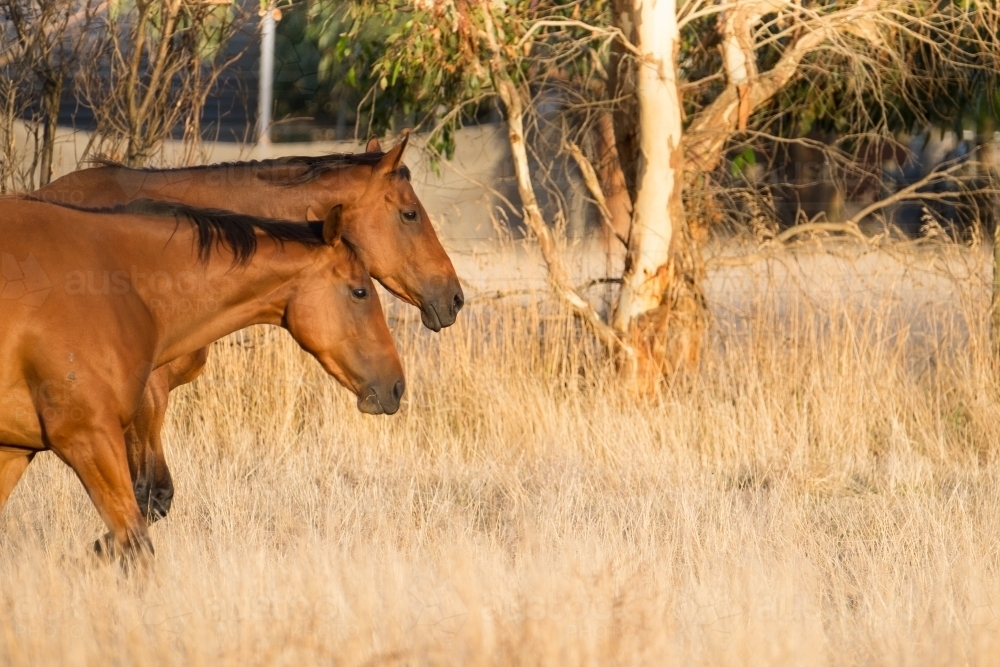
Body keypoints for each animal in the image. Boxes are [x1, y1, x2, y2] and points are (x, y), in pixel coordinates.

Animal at [1, 197, 406, 560]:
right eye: (359, 291)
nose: (397, 386)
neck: (117, 284)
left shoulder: (16, 450)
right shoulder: (89, 436)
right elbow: (138, 544)